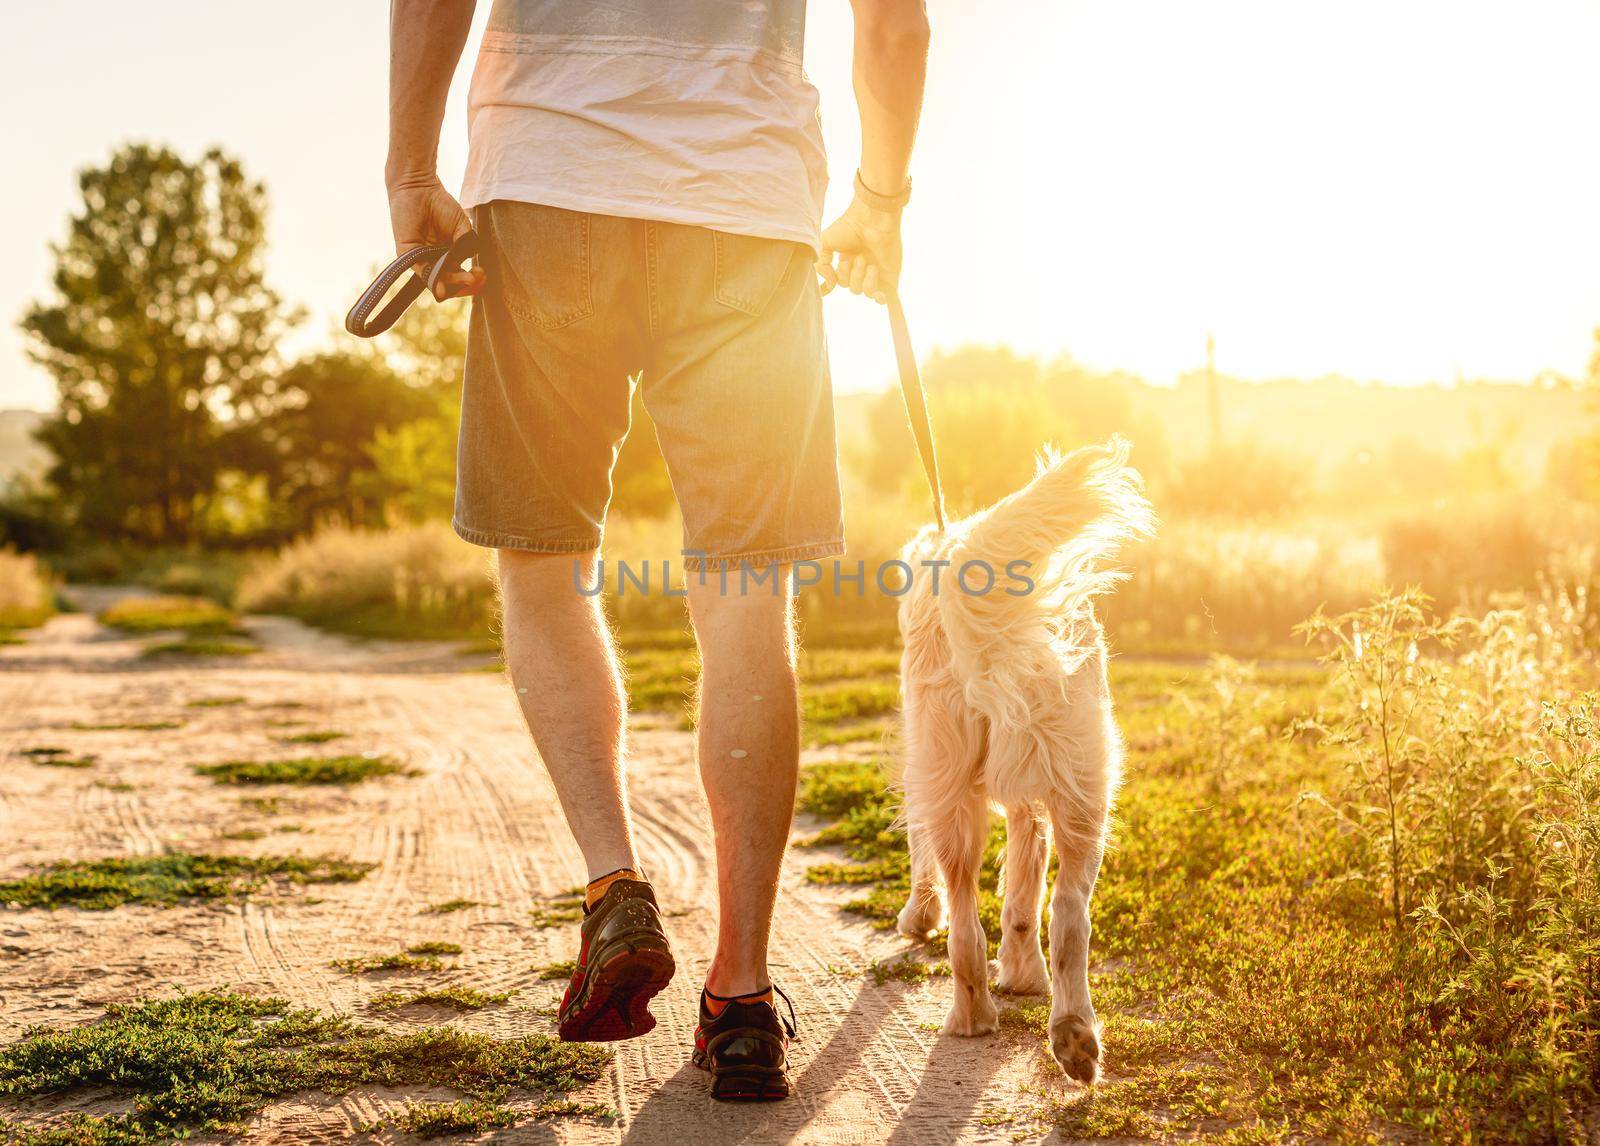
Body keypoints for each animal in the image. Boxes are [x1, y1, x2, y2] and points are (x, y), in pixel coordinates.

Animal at [896, 435, 1158, 1081]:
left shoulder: (925, 776)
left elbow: (931, 861)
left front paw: (920, 915)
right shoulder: (1029, 795)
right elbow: (1022, 893)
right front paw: (1023, 974)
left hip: (954, 774)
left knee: (965, 909)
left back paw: (972, 1016)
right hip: (1083, 783)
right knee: (1066, 912)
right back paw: (1072, 1034)